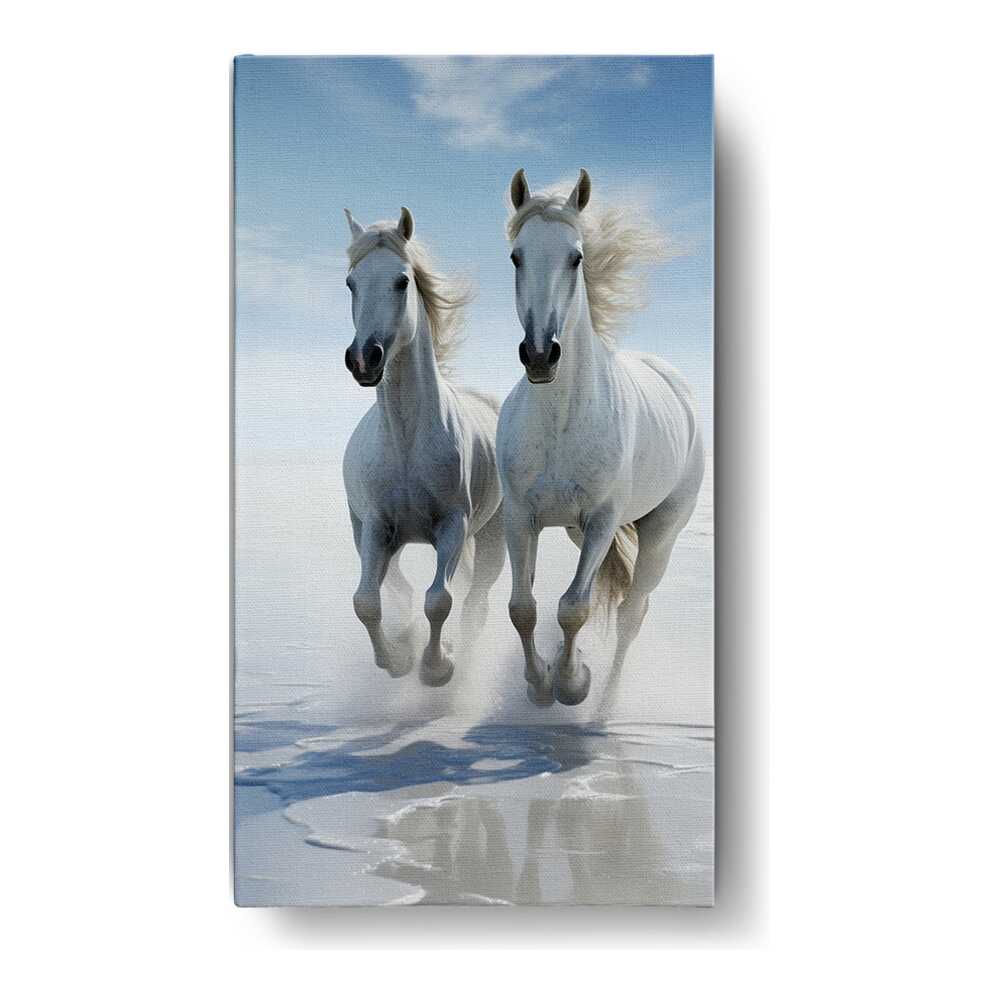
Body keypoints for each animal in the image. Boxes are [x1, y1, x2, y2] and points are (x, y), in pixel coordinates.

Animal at [341, 206, 505, 687]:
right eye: (351, 283)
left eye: (401, 281)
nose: (364, 358)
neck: (407, 442)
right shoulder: (376, 527)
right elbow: (367, 602)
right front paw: (397, 661)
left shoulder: (453, 527)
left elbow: (440, 601)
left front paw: (436, 667)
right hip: (372, 537)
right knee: (398, 589)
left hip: (493, 538)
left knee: (474, 603)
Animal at [497, 169, 704, 707]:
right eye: (516, 256)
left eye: (576, 256)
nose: (540, 355)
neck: (560, 423)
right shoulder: (520, 518)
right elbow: (523, 607)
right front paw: (540, 684)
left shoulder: (601, 522)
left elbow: (574, 608)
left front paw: (572, 685)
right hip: (574, 530)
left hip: (661, 534)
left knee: (633, 612)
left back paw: (605, 705)